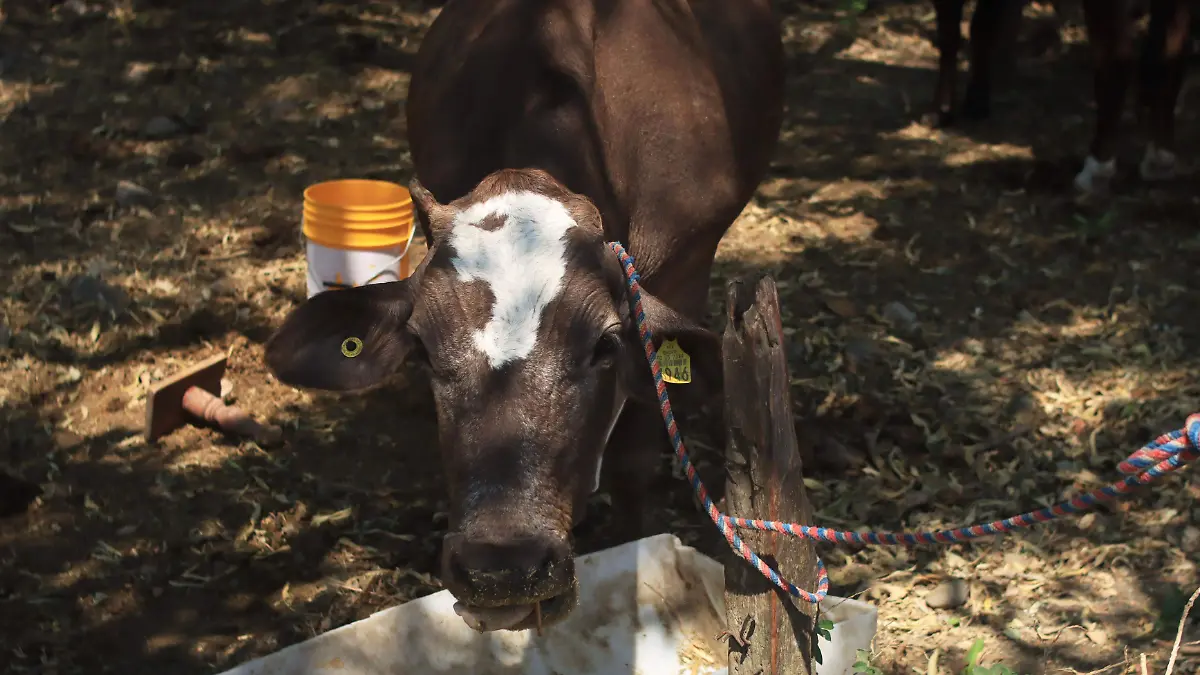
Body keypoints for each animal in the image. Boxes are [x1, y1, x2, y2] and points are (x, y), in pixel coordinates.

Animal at [924, 0, 1195, 197]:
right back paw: (1160, 158)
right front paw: (975, 102)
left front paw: (940, 110)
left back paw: (1097, 169)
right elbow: (981, 26)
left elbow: (952, 30)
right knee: (1171, 55)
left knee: (1117, 61)